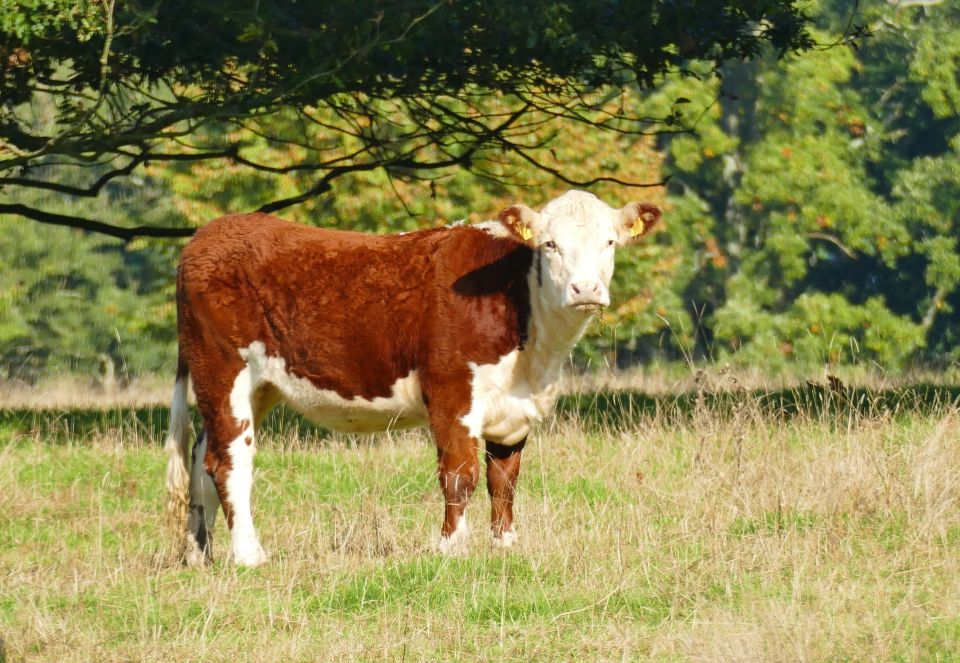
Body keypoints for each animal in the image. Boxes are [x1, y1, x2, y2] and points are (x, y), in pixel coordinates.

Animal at [165, 189, 660, 568]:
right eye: (550, 245)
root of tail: (209, 234)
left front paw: (504, 547)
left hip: (257, 385)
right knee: (229, 460)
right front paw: (451, 549)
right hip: (223, 368)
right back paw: (249, 556)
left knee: (203, 453)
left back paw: (198, 554)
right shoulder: (451, 394)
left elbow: (504, 481)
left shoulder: (516, 411)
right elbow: (460, 475)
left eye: (610, 242)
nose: (586, 290)